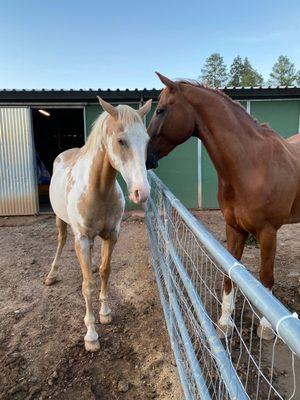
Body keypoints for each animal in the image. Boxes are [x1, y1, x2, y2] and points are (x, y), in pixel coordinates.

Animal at [45, 98, 151, 352]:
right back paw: (51, 275)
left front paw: (105, 313)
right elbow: (87, 286)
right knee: (61, 242)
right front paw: (91, 335)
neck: (98, 190)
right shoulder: (82, 238)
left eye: (146, 140)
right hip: (61, 222)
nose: (142, 193)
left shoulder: (111, 235)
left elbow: (105, 272)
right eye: (121, 140)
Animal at [146, 72, 300, 340]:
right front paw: (225, 322)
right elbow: (230, 274)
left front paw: (266, 327)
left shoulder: (268, 232)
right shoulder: (233, 228)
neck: (252, 164)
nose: (144, 157)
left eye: (161, 110)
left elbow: (265, 277)